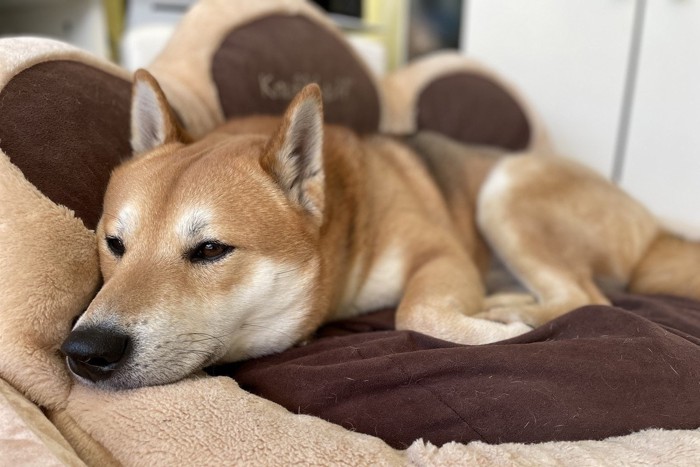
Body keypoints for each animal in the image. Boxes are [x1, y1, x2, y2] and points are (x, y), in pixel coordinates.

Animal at [63, 70, 700, 392]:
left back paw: (506, 309)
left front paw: (500, 334)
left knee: (584, 296)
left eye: (211, 249)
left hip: (507, 189)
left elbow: (414, 312)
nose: (84, 351)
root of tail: (652, 229)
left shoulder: (442, 254)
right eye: (114, 245)